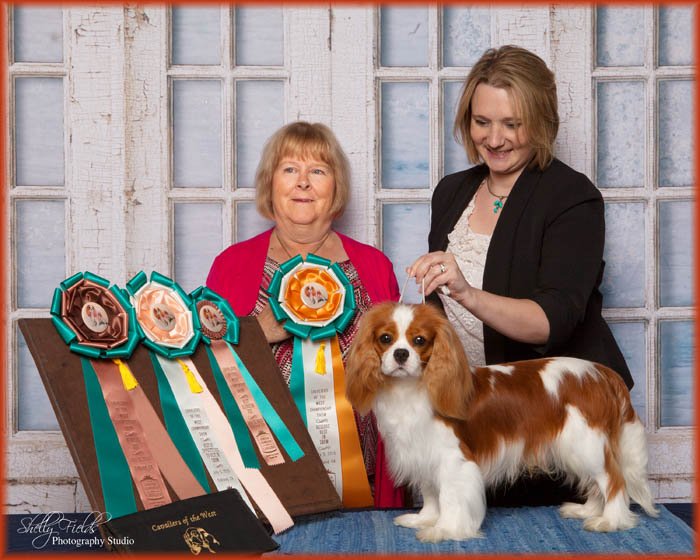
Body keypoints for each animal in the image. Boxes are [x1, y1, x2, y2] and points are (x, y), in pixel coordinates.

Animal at [348, 302, 660, 544]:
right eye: (386, 338)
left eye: (419, 341)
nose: (401, 354)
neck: (412, 389)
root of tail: (602, 373)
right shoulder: (422, 453)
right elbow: (431, 494)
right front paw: (425, 519)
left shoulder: (453, 460)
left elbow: (448, 496)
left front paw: (445, 529)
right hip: (575, 447)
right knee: (597, 482)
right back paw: (589, 511)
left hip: (586, 443)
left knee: (613, 480)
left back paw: (610, 520)